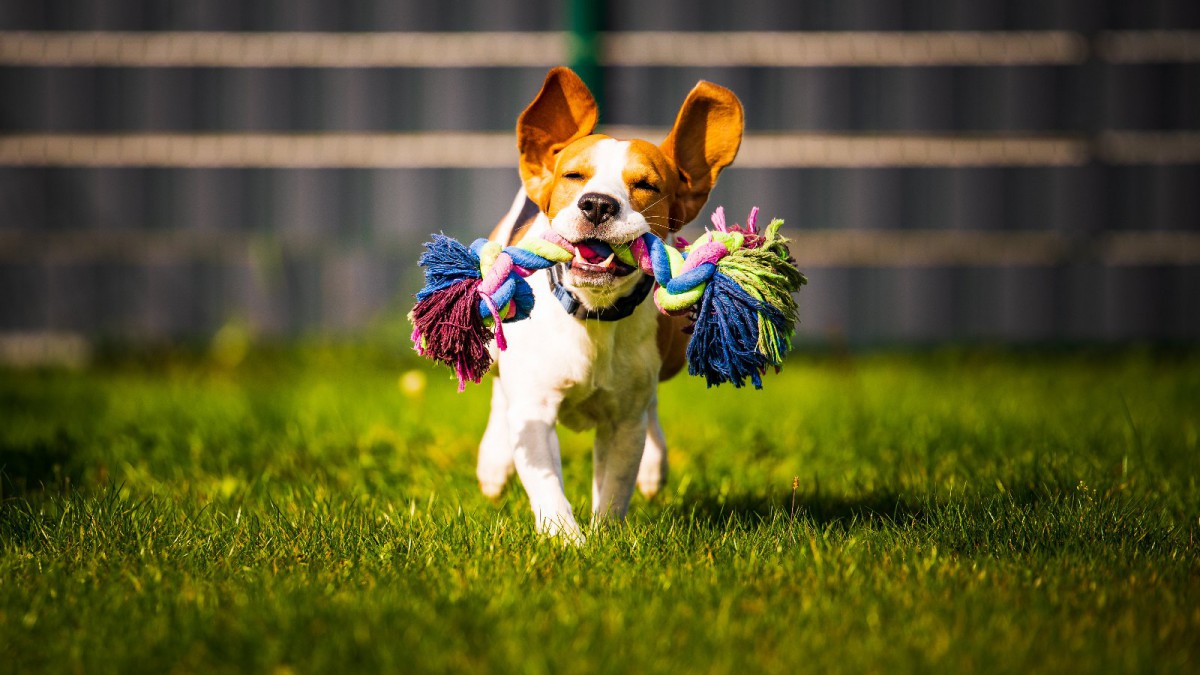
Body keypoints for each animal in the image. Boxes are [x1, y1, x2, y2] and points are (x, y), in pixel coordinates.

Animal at [475, 66, 739, 540]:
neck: (592, 313)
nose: (598, 204)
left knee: (652, 409)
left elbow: (616, 486)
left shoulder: (624, 421)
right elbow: (546, 483)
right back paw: (493, 462)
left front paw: (604, 537)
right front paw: (566, 540)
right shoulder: (536, 408)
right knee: (500, 393)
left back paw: (654, 466)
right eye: (574, 177)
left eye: (646, 185)